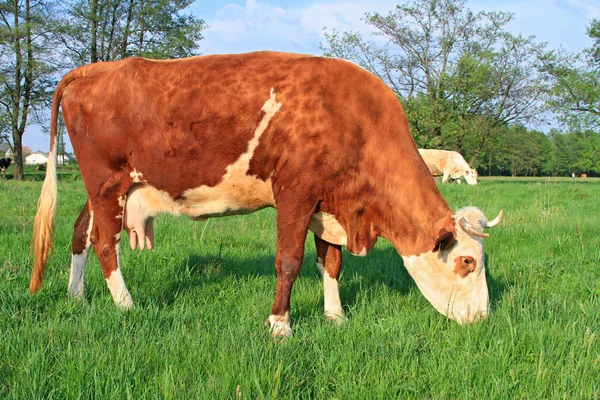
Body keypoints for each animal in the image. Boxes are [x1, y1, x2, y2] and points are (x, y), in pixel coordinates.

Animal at [30, 51, 504, 336]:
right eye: (467, 261)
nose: (484, 318)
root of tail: (98, 67)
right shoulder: (295, 192)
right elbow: (289, 261)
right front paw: (280, 325)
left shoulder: (327, 205)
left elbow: (331, 262)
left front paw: (336, 316)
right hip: (106, 180)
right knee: (104, 243)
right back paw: (126, 305)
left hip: (108, 188)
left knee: (80, 232)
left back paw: (77, 295)